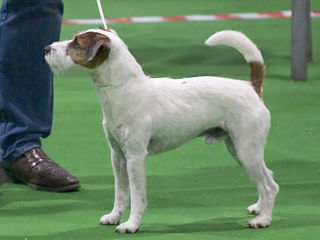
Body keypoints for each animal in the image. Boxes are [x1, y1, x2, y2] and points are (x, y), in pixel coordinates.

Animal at [45, 28, 280, 232]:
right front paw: (114, 217)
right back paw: (258, 209)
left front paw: (131, 225)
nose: (47, 48)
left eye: (76, 43)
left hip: (246, 150)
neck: (124, 89)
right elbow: (120, 193)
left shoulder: (135, 157)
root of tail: (252, 87)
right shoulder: (118, 157)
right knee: (265, 177)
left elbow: (136, 196)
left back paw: (263, 220)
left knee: (270, 186)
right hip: (238, 149)